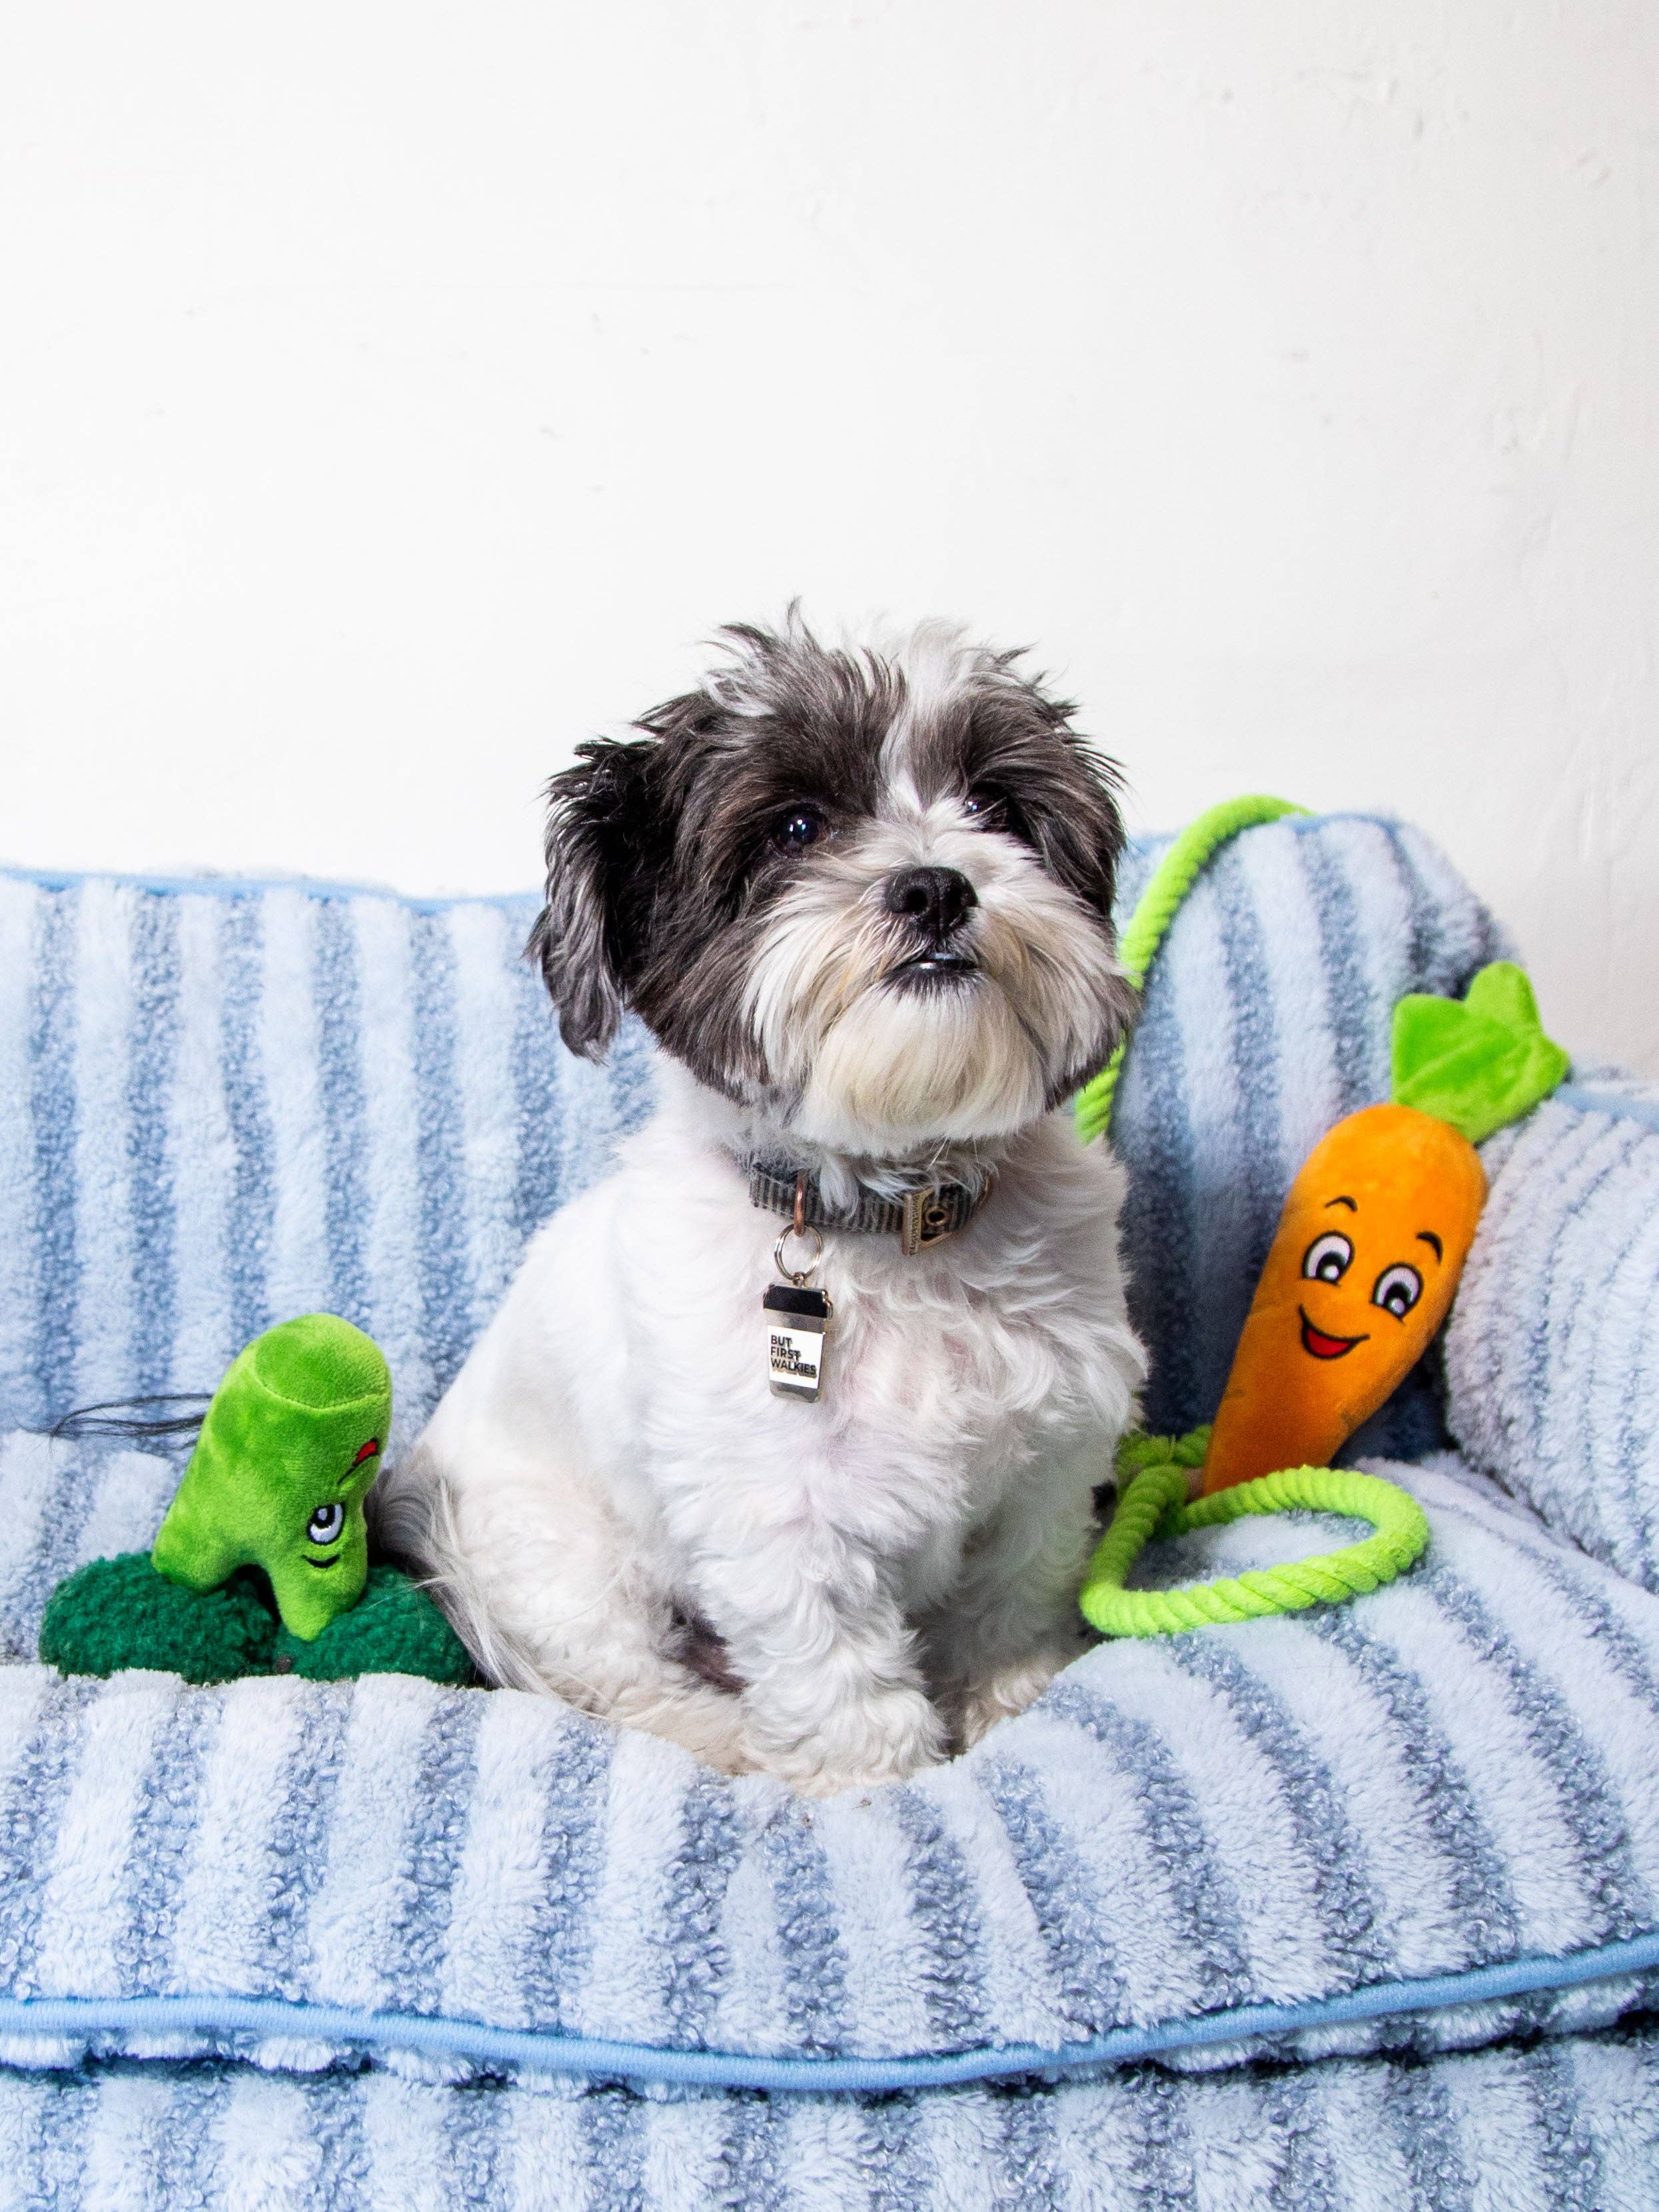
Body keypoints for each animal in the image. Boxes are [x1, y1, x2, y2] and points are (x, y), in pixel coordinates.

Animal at [382, 610, 1150, 1796]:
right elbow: (839, 1675)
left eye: (995, 807)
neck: (893, 1222)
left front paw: (1006, 1698)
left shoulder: (1047, 1471)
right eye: (795, 826)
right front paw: (876, 1781)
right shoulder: (779, 1521)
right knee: (618, 1675)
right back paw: (717, 1729)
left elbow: (1009, 1601)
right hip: (554, 1554)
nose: (934, 884)